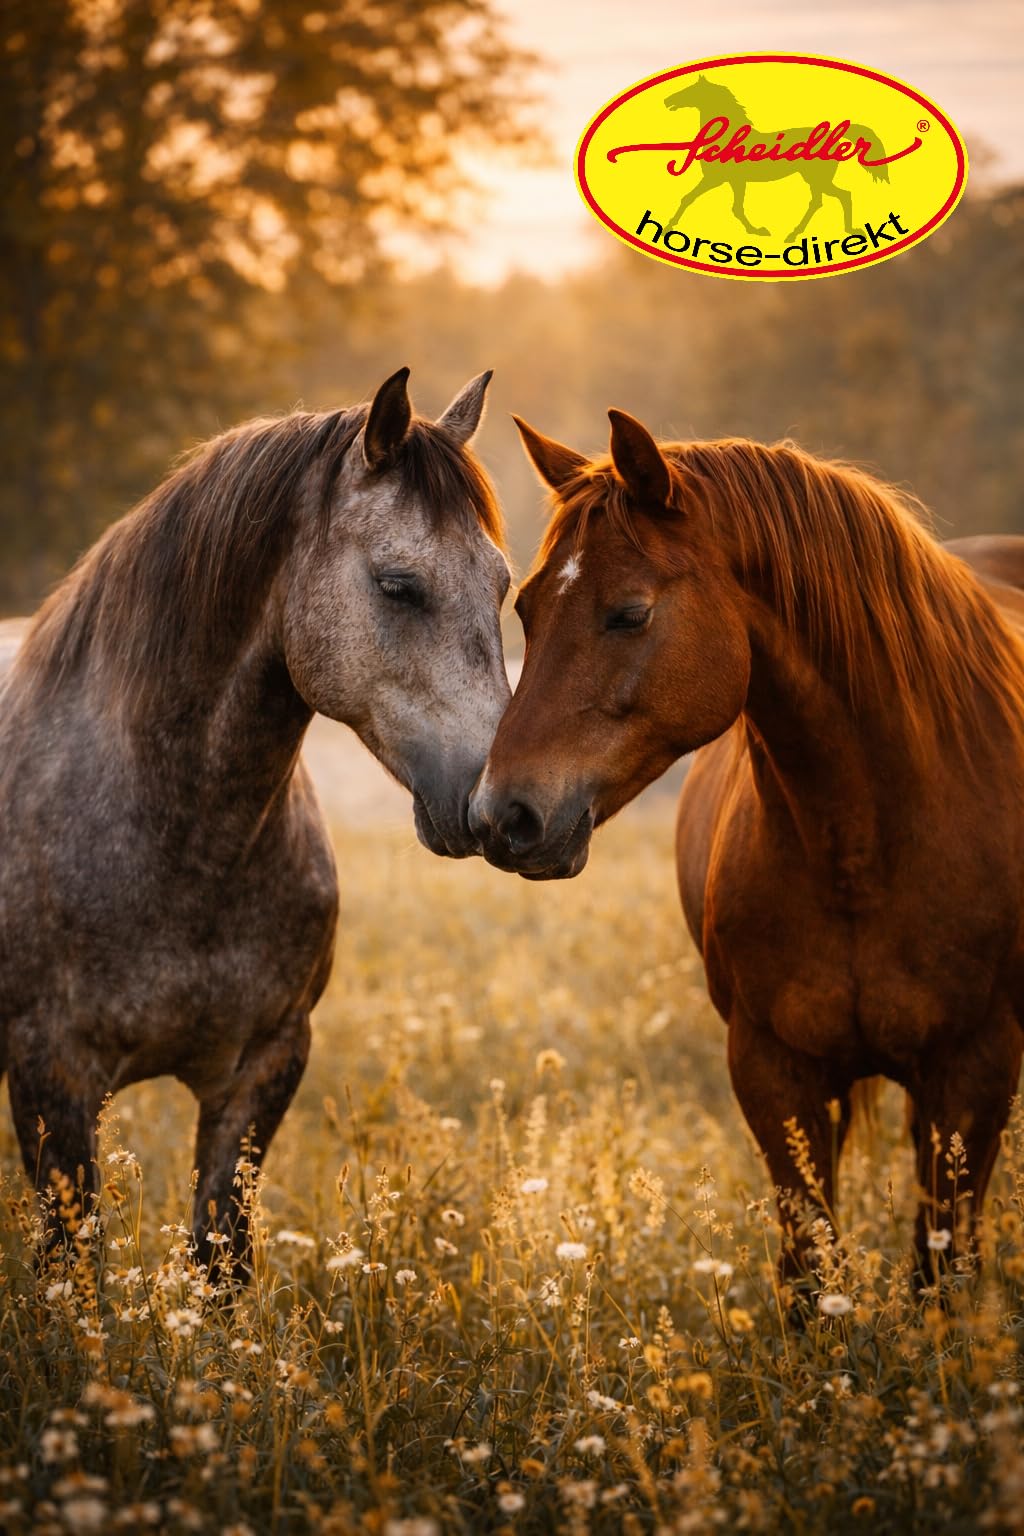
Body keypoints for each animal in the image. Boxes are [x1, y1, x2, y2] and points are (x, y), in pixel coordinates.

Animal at [0, 366, 511, 1273]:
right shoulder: (50, 1075)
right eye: (397, 584)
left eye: (504, 584)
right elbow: (74, 1264)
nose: (503, 800)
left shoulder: (261, 1069)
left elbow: (218, 1255)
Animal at [470, 407, 1024, 1281]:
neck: (865, 845)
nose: (503, 816)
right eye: (525, 610)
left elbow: (943, 1272)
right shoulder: (773, 1073)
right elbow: (812, 1270)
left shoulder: (974, 1071)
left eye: (629, 613)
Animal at [662, 74, 890, 242]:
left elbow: (693, 199)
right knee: (828, 199)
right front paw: (757, 231)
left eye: (690, 90)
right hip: (816, 179)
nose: (666, 100)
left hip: (817, 178)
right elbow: (733, 207)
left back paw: (800, 234)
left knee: (836, 197)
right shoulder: (733, 180)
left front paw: (667, 228)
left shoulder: (717, 179)